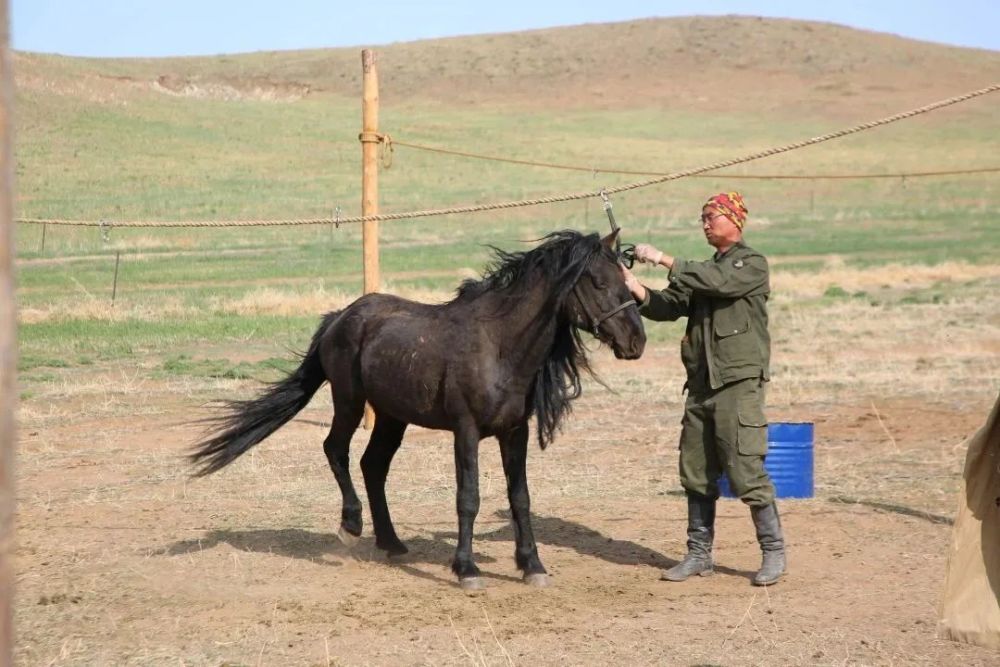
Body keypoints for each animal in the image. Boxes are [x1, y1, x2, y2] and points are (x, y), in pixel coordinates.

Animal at [193, 228, 648, 588]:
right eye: (596, 281)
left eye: (625, 278)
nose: (636, 341)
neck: (498, 346)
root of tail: (341, 316)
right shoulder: (466, 431)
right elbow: (469, 497)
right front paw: (467, 570)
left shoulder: (514, 431)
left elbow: (520, 497)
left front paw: (532, 566)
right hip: (350, 402)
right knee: (336, 450)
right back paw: (350, 526)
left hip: (392, 417)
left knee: (373, 465)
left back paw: (391, 542)